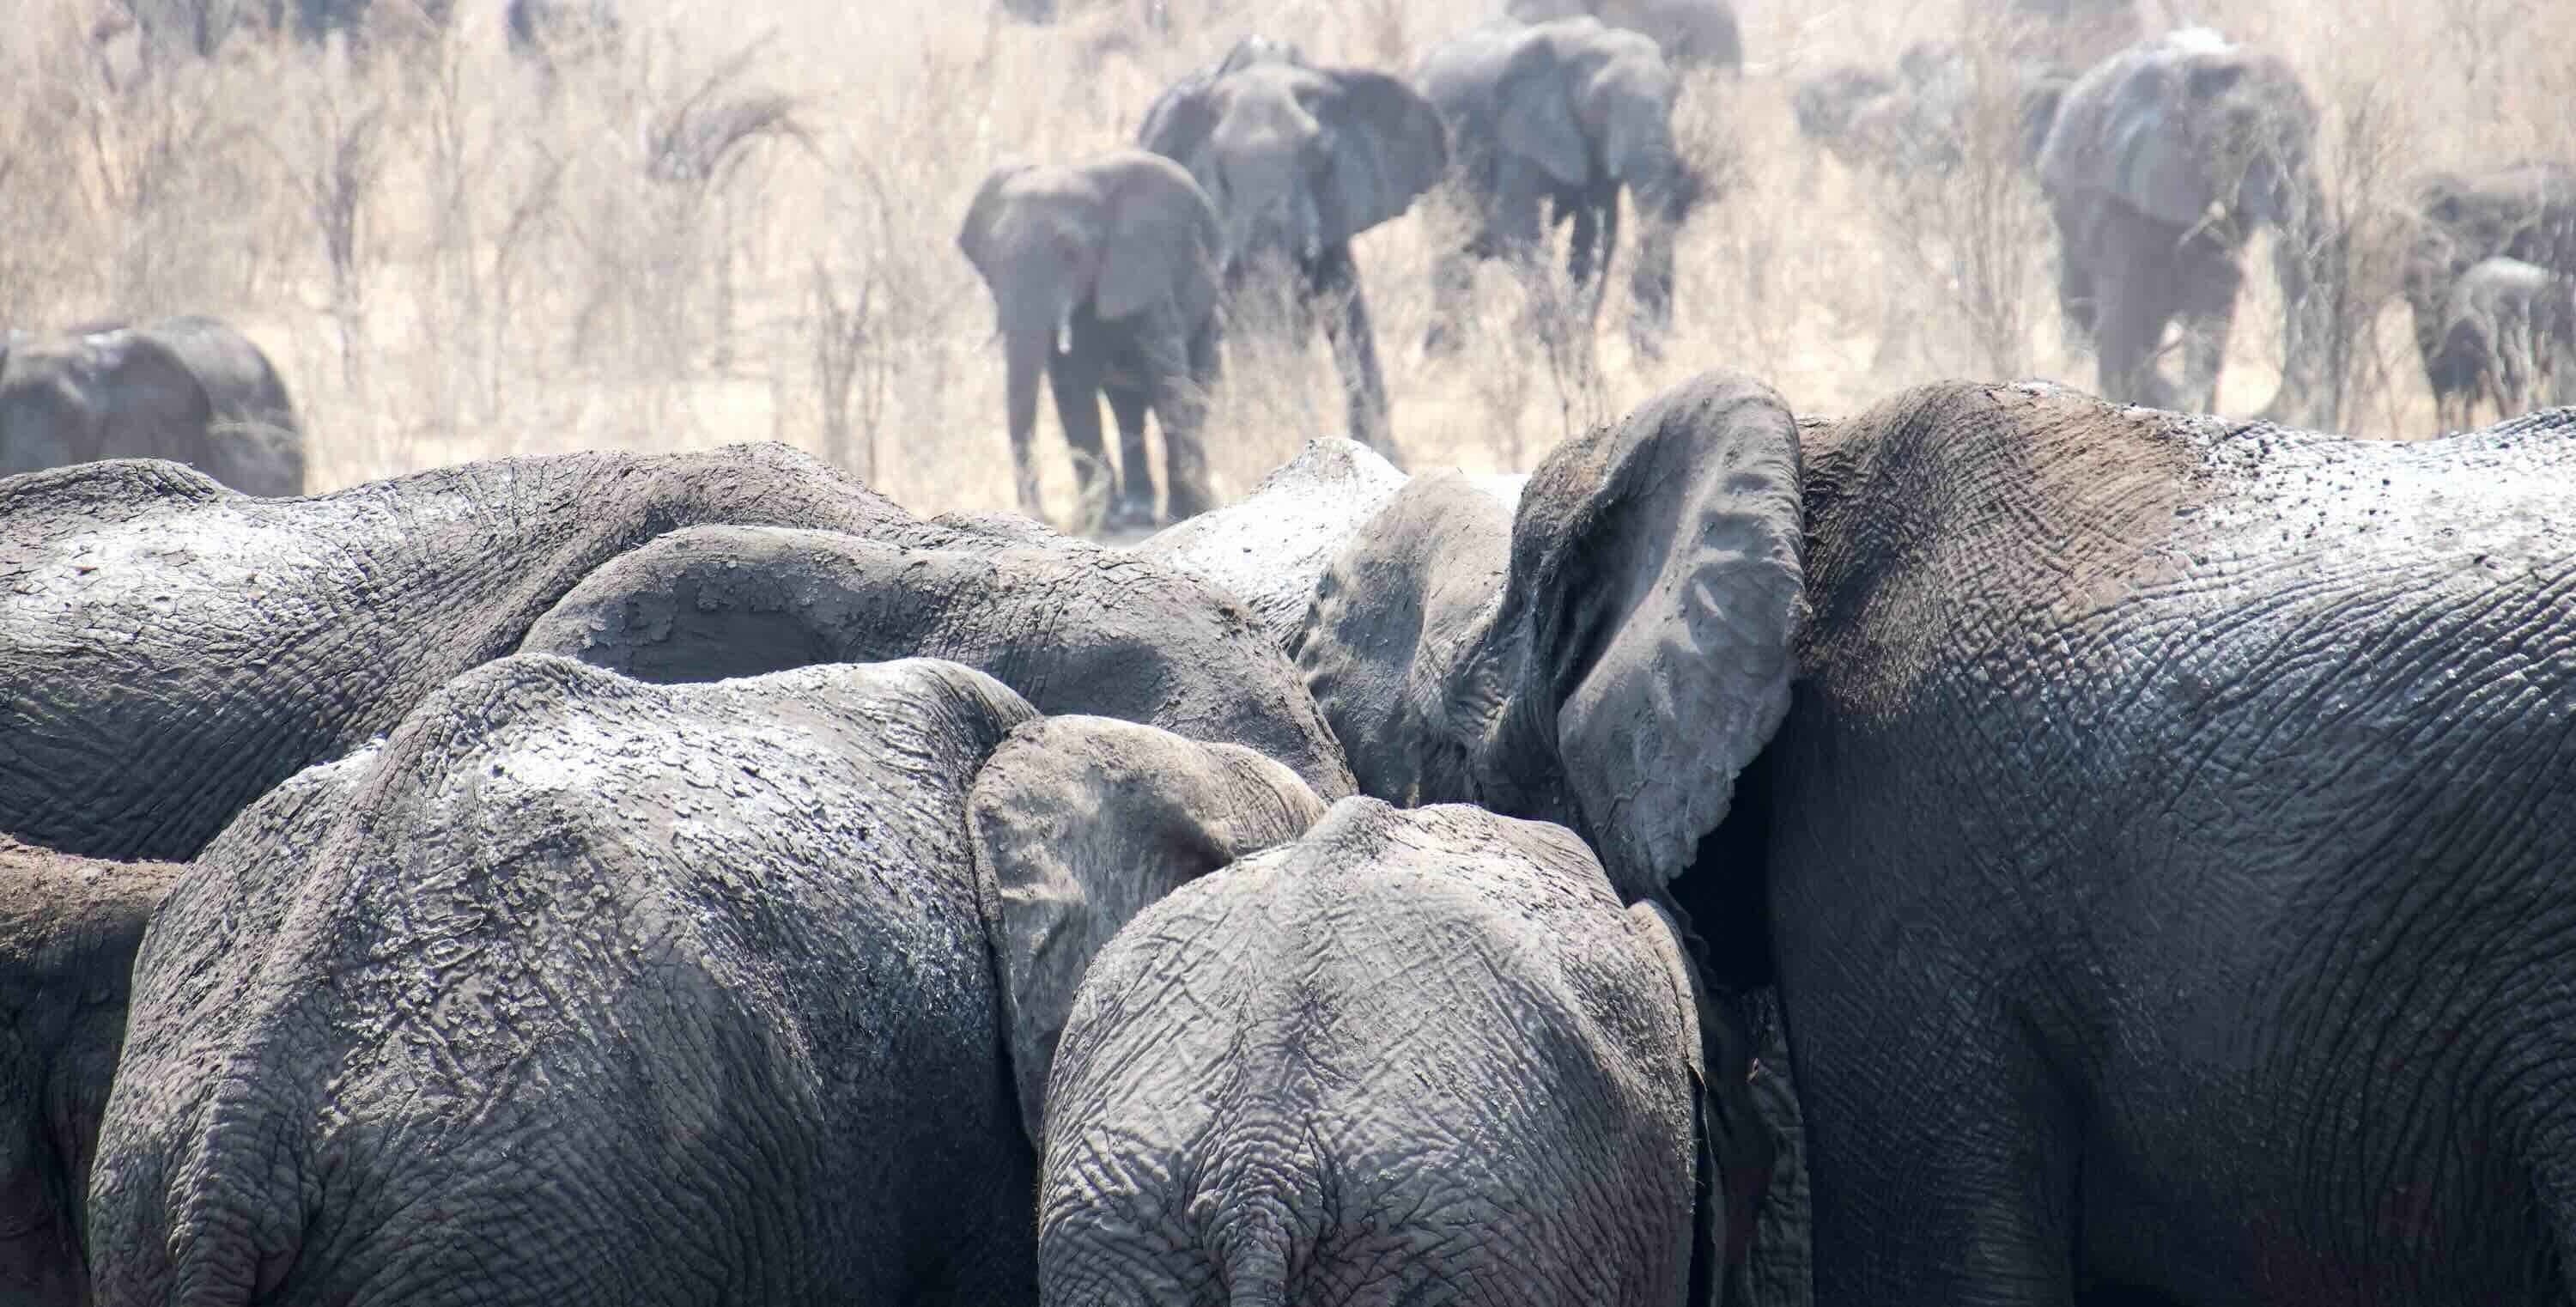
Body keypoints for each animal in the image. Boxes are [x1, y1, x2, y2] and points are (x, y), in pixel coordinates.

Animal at [959, 150, 1226, 531]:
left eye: (1070, 252)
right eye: (992, 260)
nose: (1043, 517)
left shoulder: (1144, 269)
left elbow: (1168, 377)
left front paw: (1187, 512)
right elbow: (1071, 385)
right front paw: (1103, 520)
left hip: (1211, 319)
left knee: (1192, 387)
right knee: (1126, 405)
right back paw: (1136, 513)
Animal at [1418, 17, 1706, 361]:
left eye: (1675, 96)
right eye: (1601, 100)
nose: (1651, 351)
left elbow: (1595, 236)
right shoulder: (1521, 131)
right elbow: (1520, 229)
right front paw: (1558, 346)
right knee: (1452, 253)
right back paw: (1443, 357)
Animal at [2035, 27, 2327, 420]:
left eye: (2312, 134)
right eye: (2239, 147)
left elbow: (2217, 290)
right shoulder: (2123, 192)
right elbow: (2124, 312)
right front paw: (2167, 399)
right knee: (2091, 312)